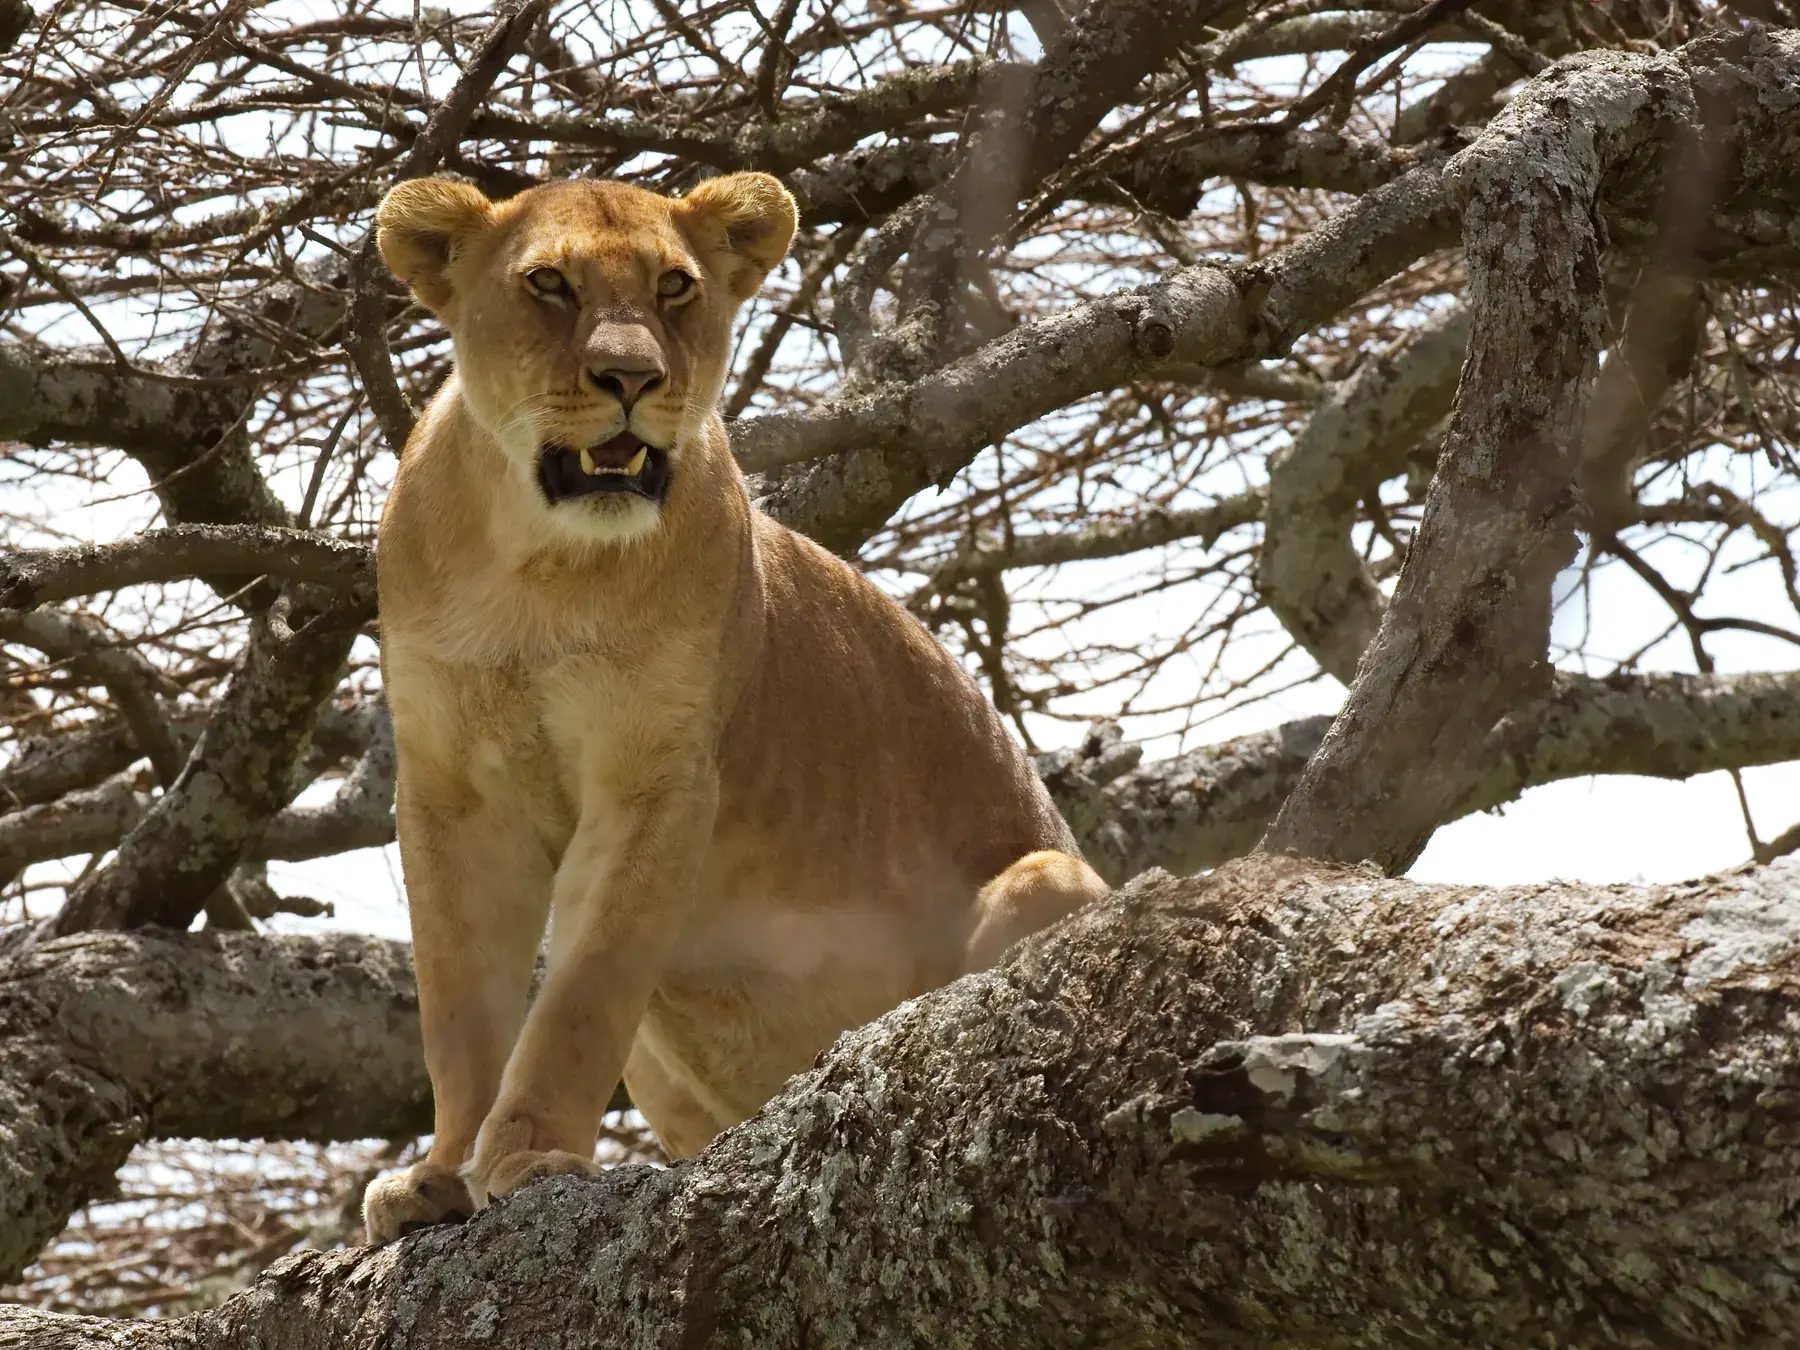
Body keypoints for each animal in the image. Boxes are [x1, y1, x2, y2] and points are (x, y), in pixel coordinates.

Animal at [360, 170, 1110, 1243]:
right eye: (548, 283)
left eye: (674, 287)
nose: (629, 378)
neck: (539, 568)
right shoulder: (452, 792)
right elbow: (460, 1006)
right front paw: (439, 1173)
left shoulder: (658, 779)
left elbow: (584, 991)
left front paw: (530, 1157)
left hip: (1051, 879)